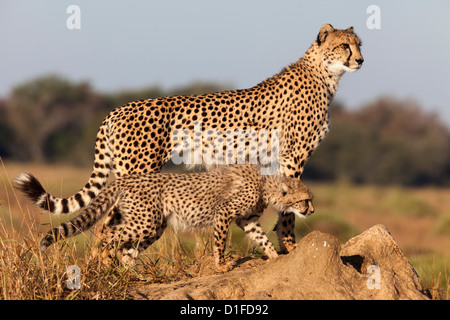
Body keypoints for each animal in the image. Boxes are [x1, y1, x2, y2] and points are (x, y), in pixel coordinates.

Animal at [15, 23, 364, 252]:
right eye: (345, 45)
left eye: (360, 44)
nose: (360, 60)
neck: (325, 74)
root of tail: (117, 109)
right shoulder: (293, 155)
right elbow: (288, 205)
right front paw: (290, 245)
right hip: (139, 173)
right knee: (106, 226)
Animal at [37, 165, 314, 270]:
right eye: (305, 200)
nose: (311, 211)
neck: (266, 185)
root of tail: (129, 178)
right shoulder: (224, 214)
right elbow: (220, 243)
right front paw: (221, 265)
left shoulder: (248, 220)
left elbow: (262, 238)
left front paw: (275, 256)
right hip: (144, 221)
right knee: (110, 234)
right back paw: (105, 258)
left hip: (153, 226)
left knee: (127, 249)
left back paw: (130, 274)